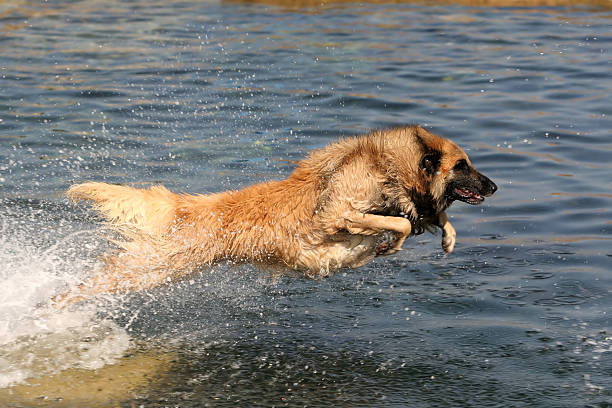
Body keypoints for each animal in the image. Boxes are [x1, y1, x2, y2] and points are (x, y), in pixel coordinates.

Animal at [56, 126, 498, 304]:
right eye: (463, 165)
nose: (494, 187)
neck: (390, 166)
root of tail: (183, 205)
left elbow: (424, 218)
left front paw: (446, 235)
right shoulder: (336, 212)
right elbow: (399, 222)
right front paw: (391, 242)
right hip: (152, 267)